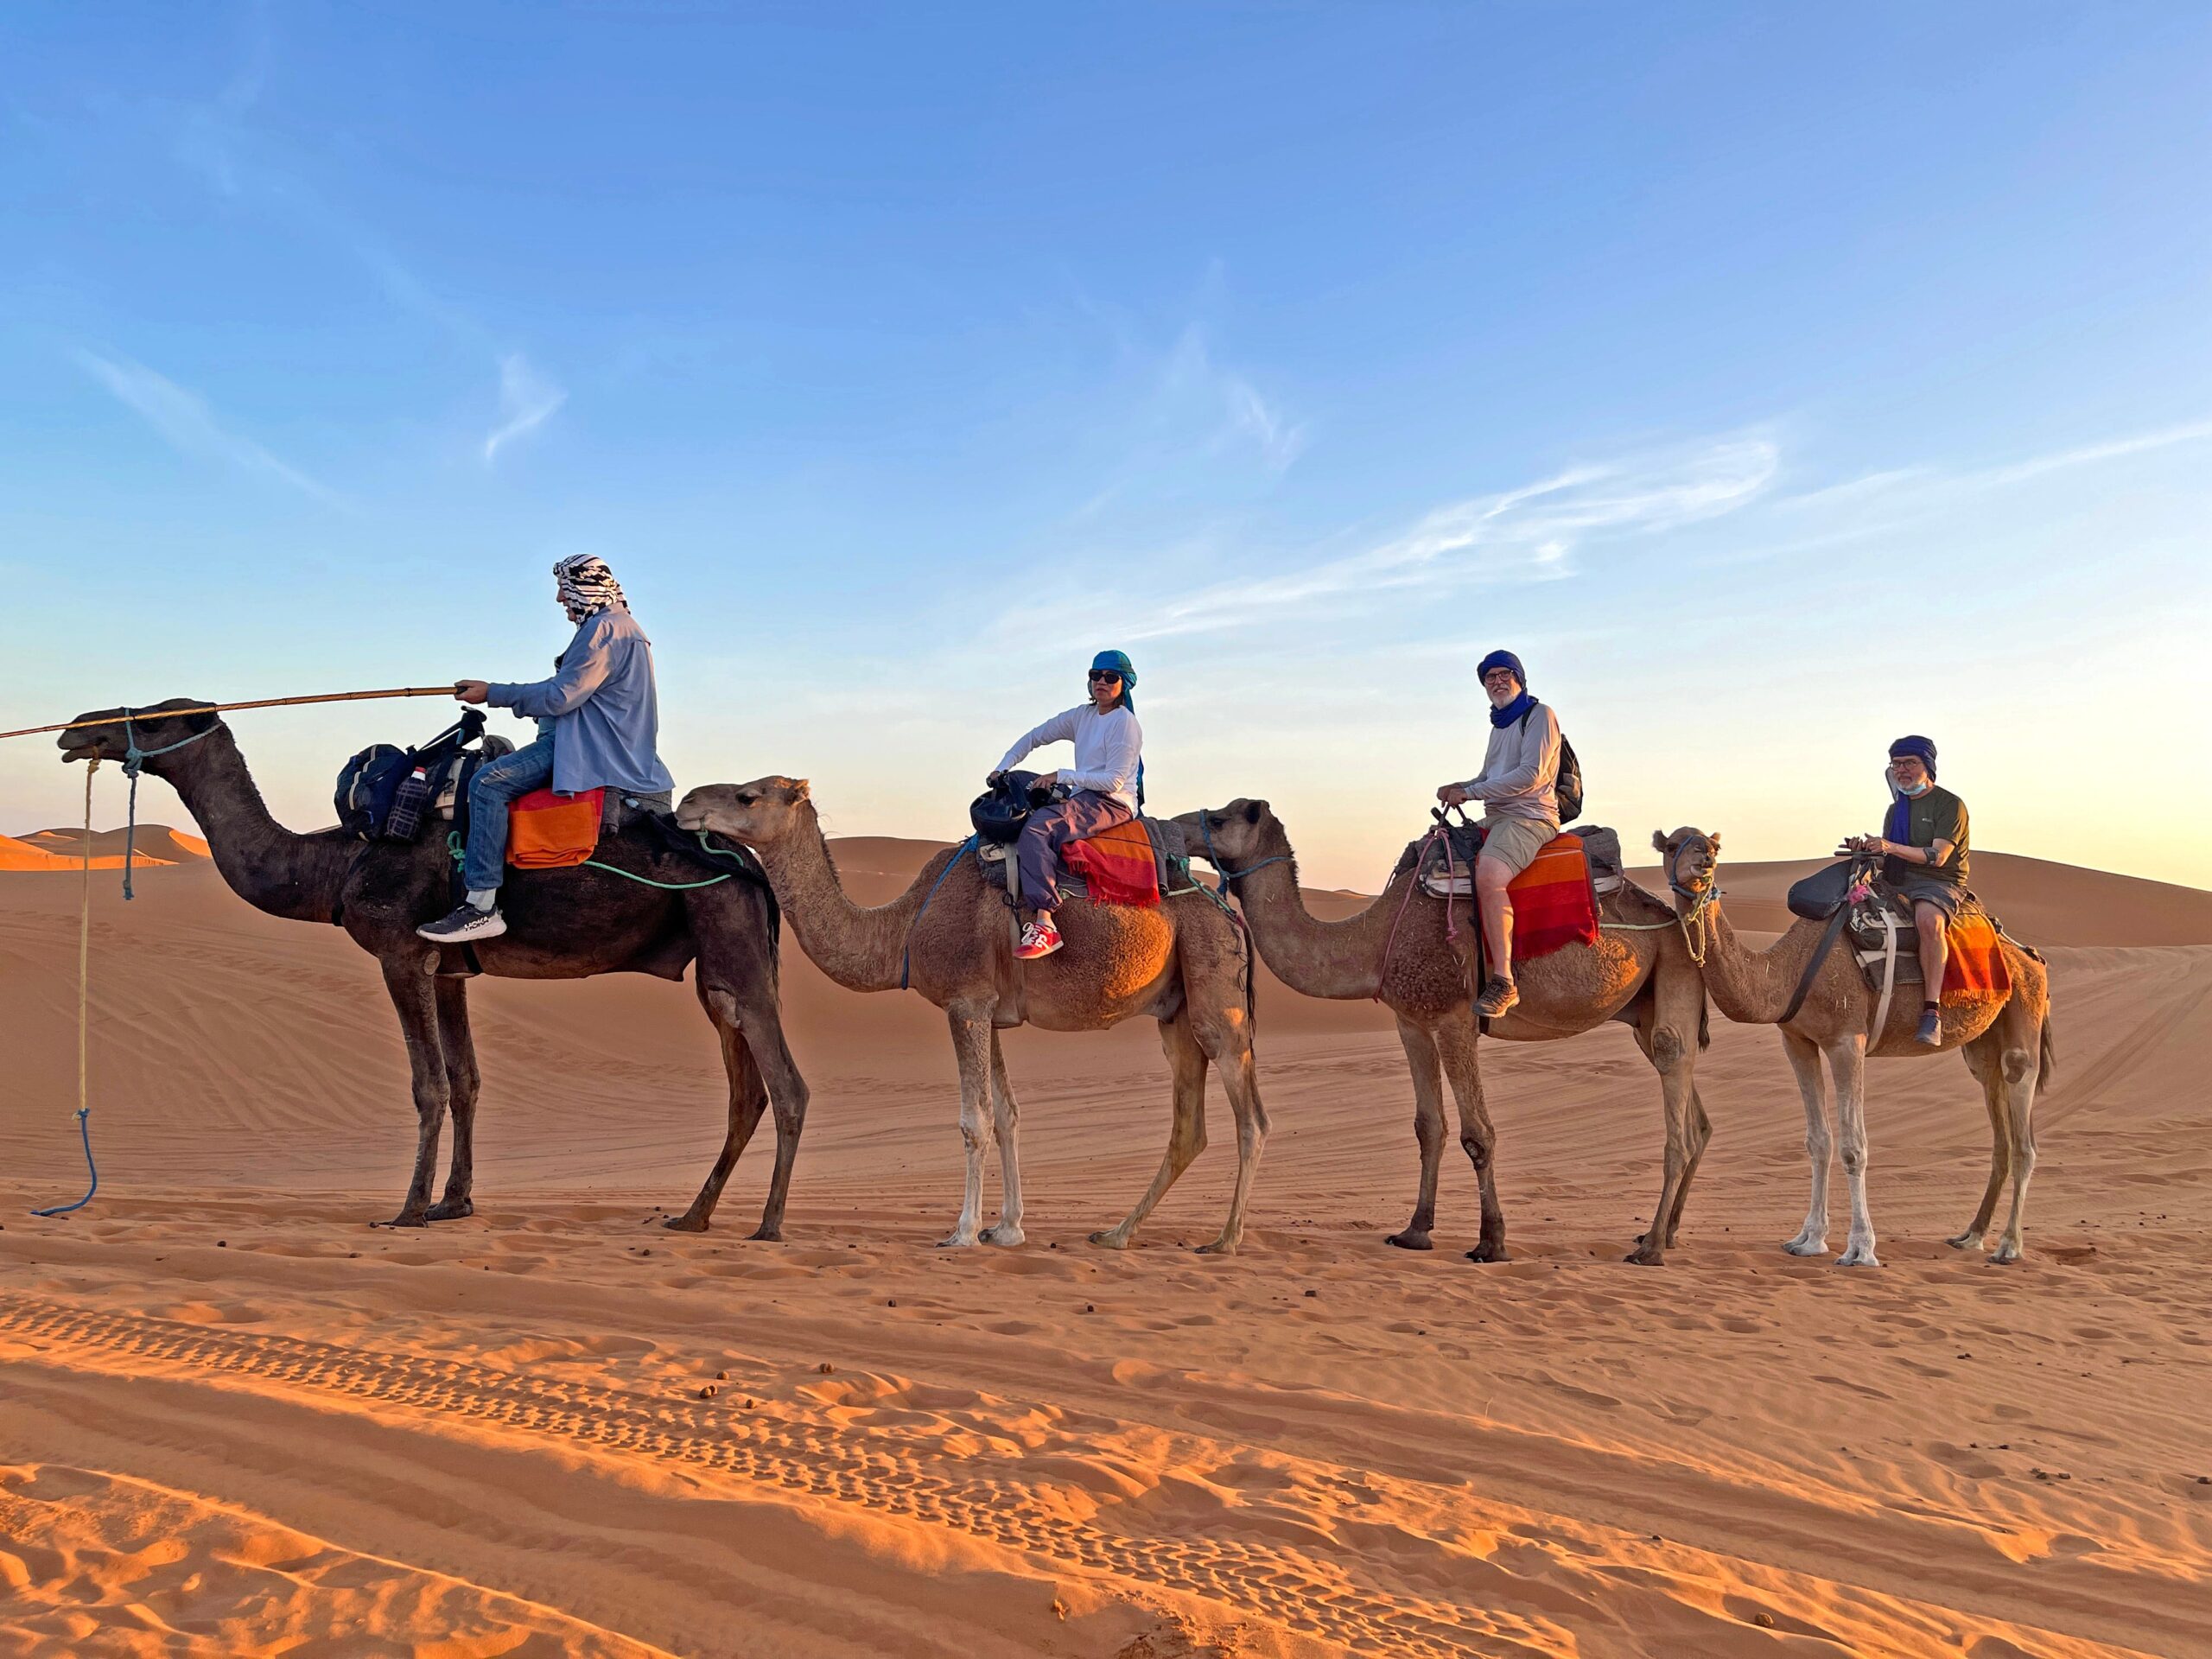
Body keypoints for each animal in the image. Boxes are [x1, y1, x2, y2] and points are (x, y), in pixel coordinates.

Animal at [55, 698, 804, 1238]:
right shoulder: (448, 969)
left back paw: (767, 1226)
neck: (335, 864)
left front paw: (410, 1209)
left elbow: (428, 1085)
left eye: (157, 718)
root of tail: (752, 869)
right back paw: (694, 1215)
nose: (76, 731)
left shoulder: (400, 954)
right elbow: (467, 1080)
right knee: (746, 1090)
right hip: (717, 962)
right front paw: (455, 1203)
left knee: (786, 1086)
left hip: (730, 939)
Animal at [672, 787, 1274, 1256]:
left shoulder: (964, 1003)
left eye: (748, 795)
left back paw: (1226, 1240)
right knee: (1189, 1125)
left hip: (1215, 997)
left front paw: (962, 1232)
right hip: (1176, 1011)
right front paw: (1007, 1229)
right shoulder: (991, 1012)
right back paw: (1116, 1233)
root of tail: (1231, 914)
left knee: (1251, 1116)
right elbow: (1007, 1115)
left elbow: (974, 1120)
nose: (686, 804)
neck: (903, 928)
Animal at [1176, 809, 1707, 1274]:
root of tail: (1672, 914)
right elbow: (1429, 1126)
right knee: (1695, 1115)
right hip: (1643, 1010)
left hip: (1675, 966)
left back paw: (1651, 1247)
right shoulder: (1411, 1021)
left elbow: (1478, 1134)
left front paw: (1491, 1242)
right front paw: (1415, 1231)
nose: (1173, 830)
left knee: (1676, 1089)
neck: (1375, 939)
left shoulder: (1455, 1019)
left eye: (1219, 819)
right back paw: (1666, 1234)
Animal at [1654, 831, 2044, 1274]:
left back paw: (2009, 1246)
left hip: (2024, 1018)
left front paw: (1860, 1249)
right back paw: (1971, 1236)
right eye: (1672, 845)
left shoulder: (1847, 1040)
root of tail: (2029, 955)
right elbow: (1818, 1141)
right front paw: (1808, 1239)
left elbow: (1853, 1148)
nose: (1702, 860)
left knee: (2024, 1131)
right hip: (1983, 1047)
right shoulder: (1797, 1041)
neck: (1786, 972)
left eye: (1714, 848)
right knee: (2000, 1126)